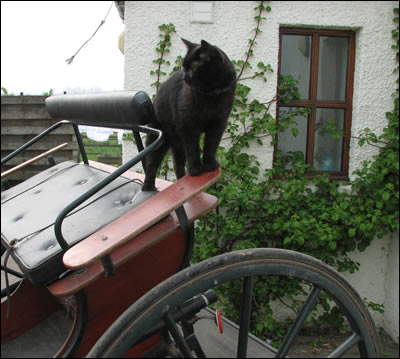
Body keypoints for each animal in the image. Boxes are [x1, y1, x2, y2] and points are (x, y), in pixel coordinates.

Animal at [142, 38, 236, 193]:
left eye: (192, 68)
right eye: (184, 67)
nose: (184, 76)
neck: (211, 95)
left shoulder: (218, 124)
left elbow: (211, 146)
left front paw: (210, 164)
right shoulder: (189, 126)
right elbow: (193, 148)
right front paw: (196, 169)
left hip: (178, 146)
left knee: (178, 167)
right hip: (160, 141)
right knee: (151, 164)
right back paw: (148, 188)